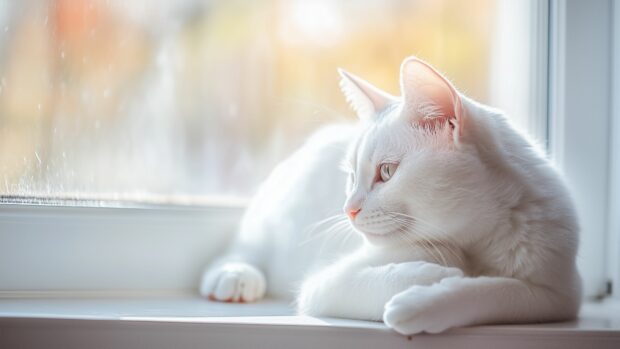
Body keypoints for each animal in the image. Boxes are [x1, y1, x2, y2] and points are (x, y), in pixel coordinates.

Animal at [200, 55, 580, 334]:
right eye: (353, 176)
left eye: (386, 172)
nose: (348, 209)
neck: (472, 240)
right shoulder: (323, 284)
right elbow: (399, 274)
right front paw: (435, 276)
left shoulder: (555, 294)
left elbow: (496, 292)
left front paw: (424, 304)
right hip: (272, 220)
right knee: (245, 246)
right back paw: (234, 276)